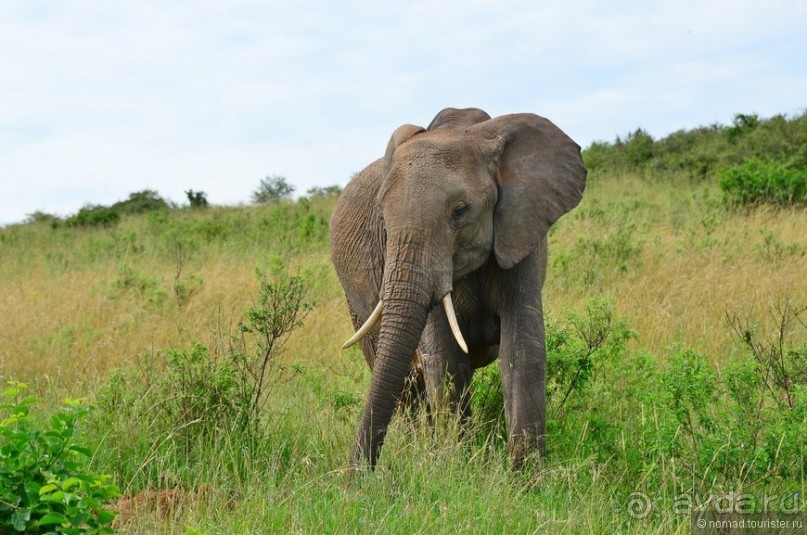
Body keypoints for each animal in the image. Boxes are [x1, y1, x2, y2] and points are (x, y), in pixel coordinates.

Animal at [328, 105, 588, 468]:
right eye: (383, 220)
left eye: (460, 212)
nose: (355, 476)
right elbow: (447, 361)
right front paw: (457, 463)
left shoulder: (520, 228)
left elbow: (523, 351)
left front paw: (525, 477)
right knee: (403, 382)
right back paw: (418, 444)